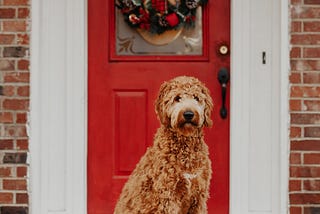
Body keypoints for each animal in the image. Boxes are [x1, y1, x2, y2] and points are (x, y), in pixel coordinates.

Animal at [114, 76, 214, 213]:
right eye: (177, 98)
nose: (188, 114)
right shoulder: (167, 195)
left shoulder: (199, 195)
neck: (185, 145)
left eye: (196, 98)